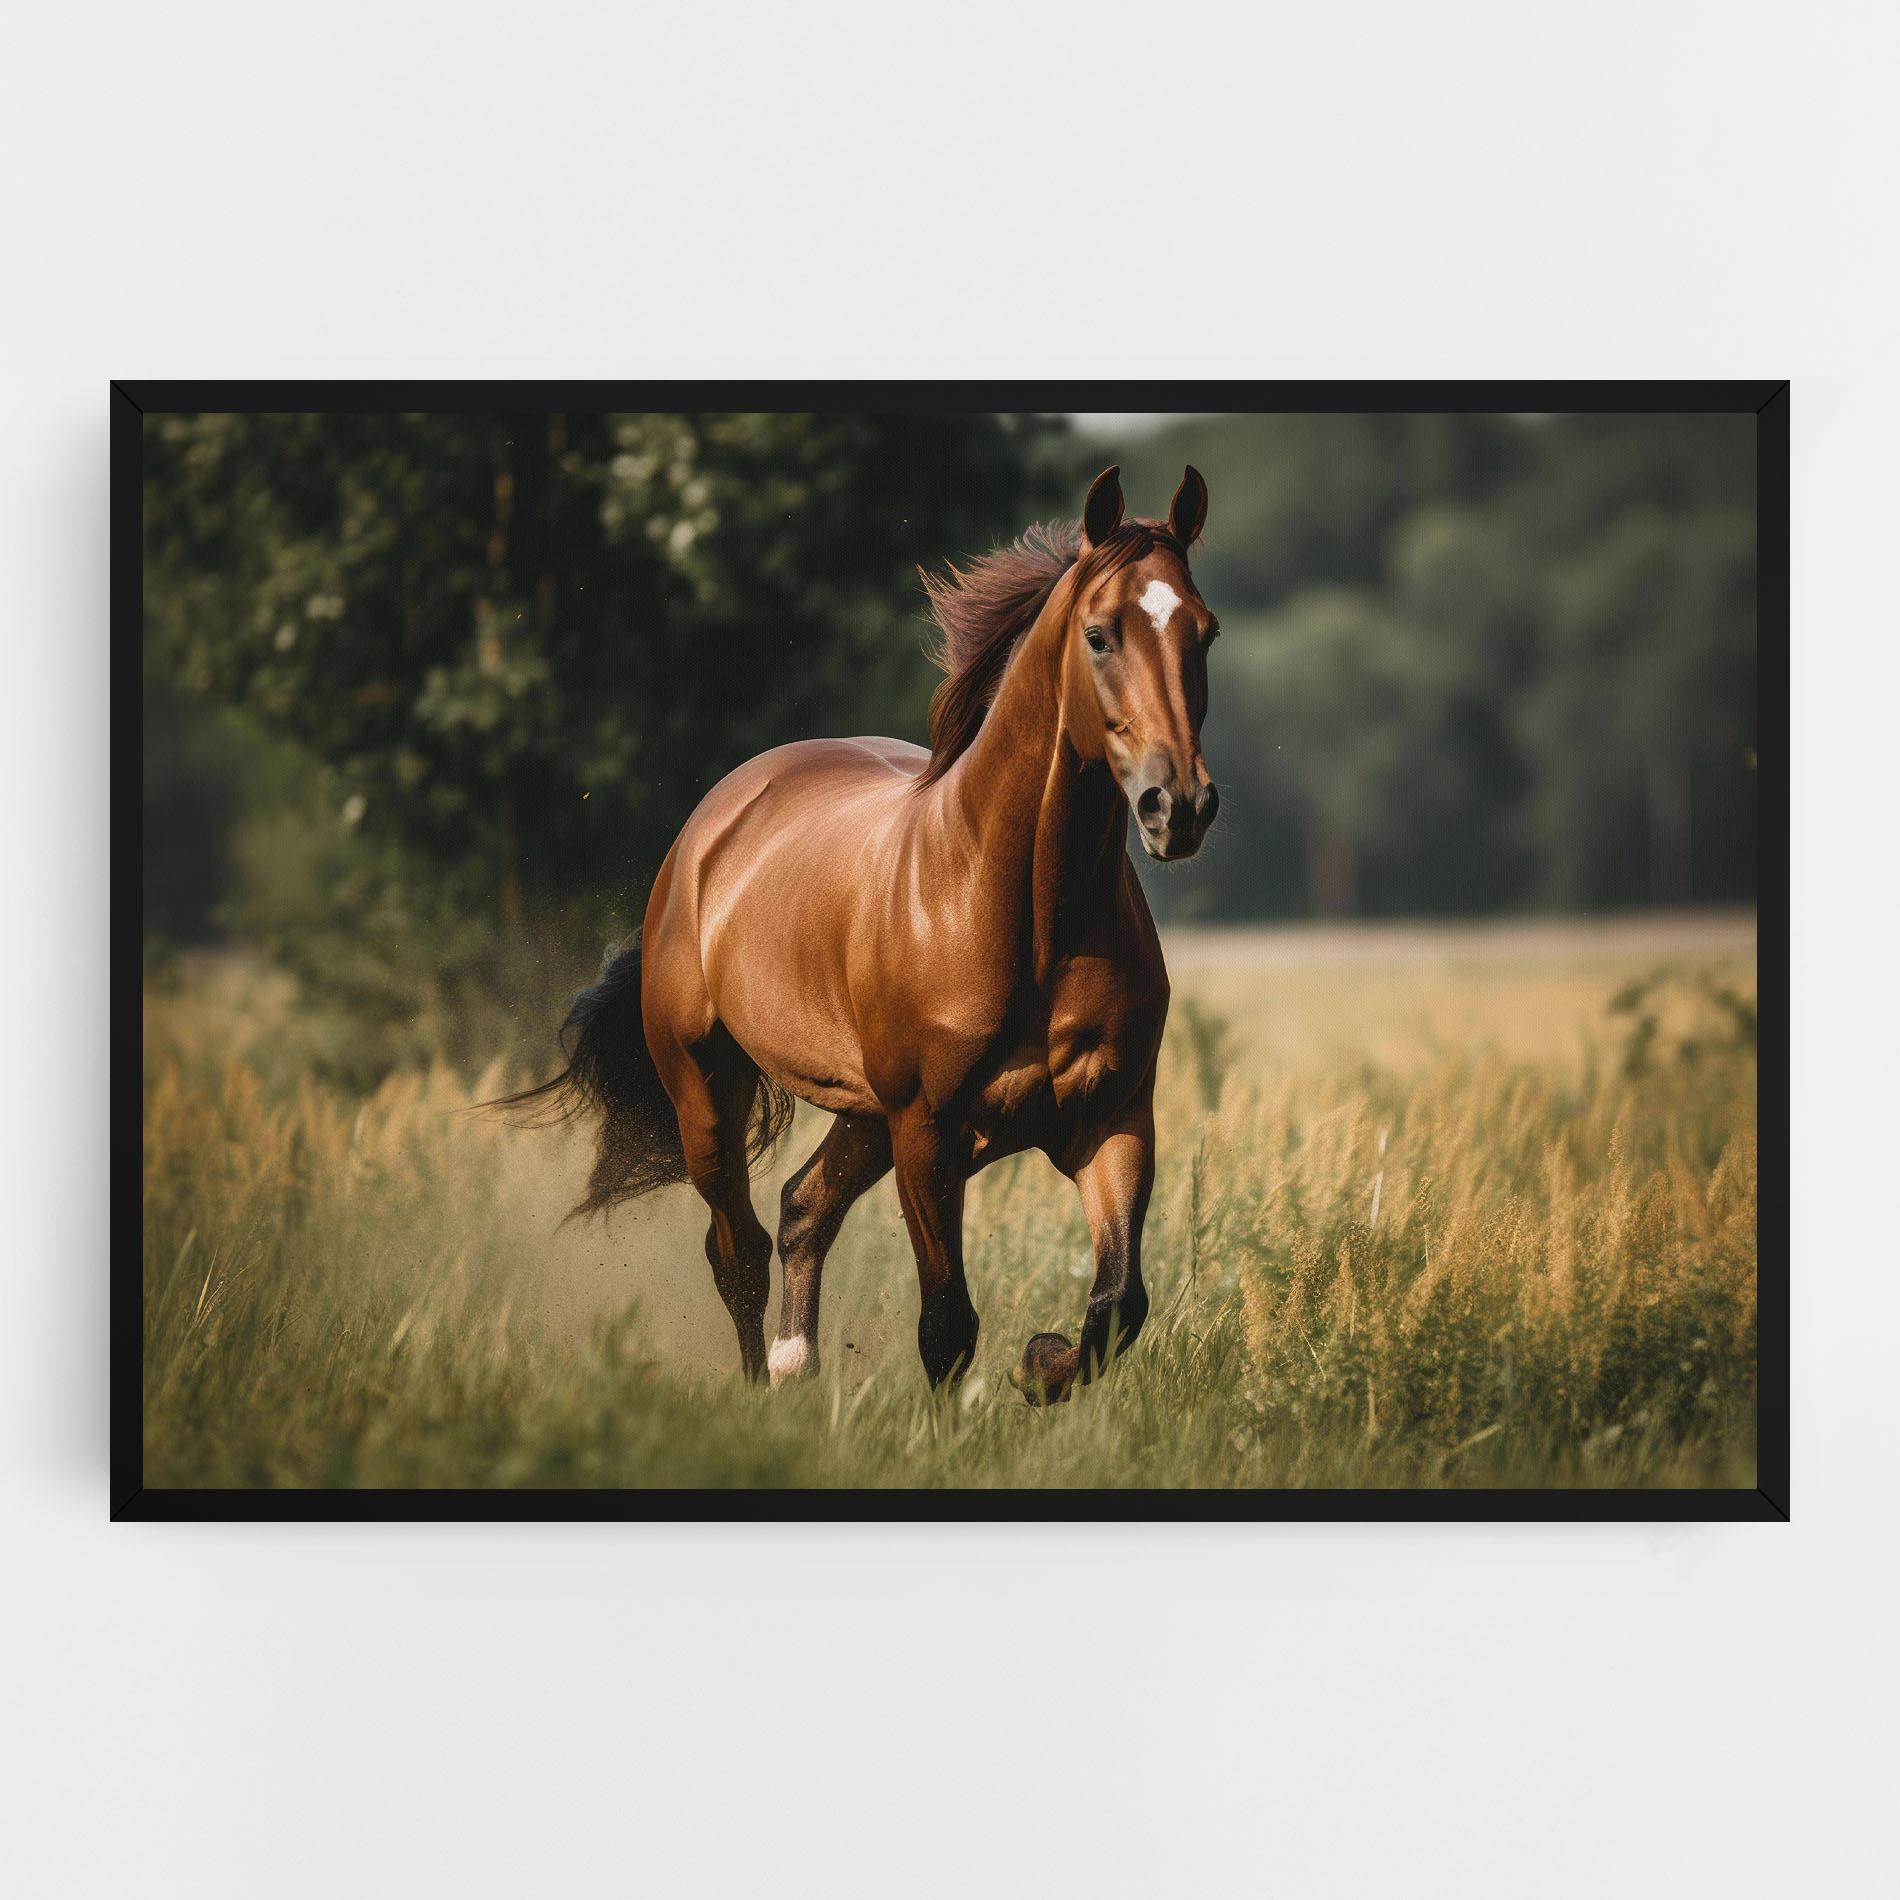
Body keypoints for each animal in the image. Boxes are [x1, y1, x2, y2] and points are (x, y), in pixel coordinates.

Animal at [502, 463, 1220, 1404]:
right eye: (1100, 635)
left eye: (1205, 632)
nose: (1180, 808)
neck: (1028, 921)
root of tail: (707, 833)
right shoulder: (926, 1132)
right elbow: (947, 1325)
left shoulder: (1114, 1117)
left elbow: (1118, 1303)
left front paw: (1040, 1364)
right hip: (710, 1093)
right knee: (738, 1250)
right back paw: (761, 1388)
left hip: (864, 1114)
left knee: (803, 1208)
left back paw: (796, 1365)